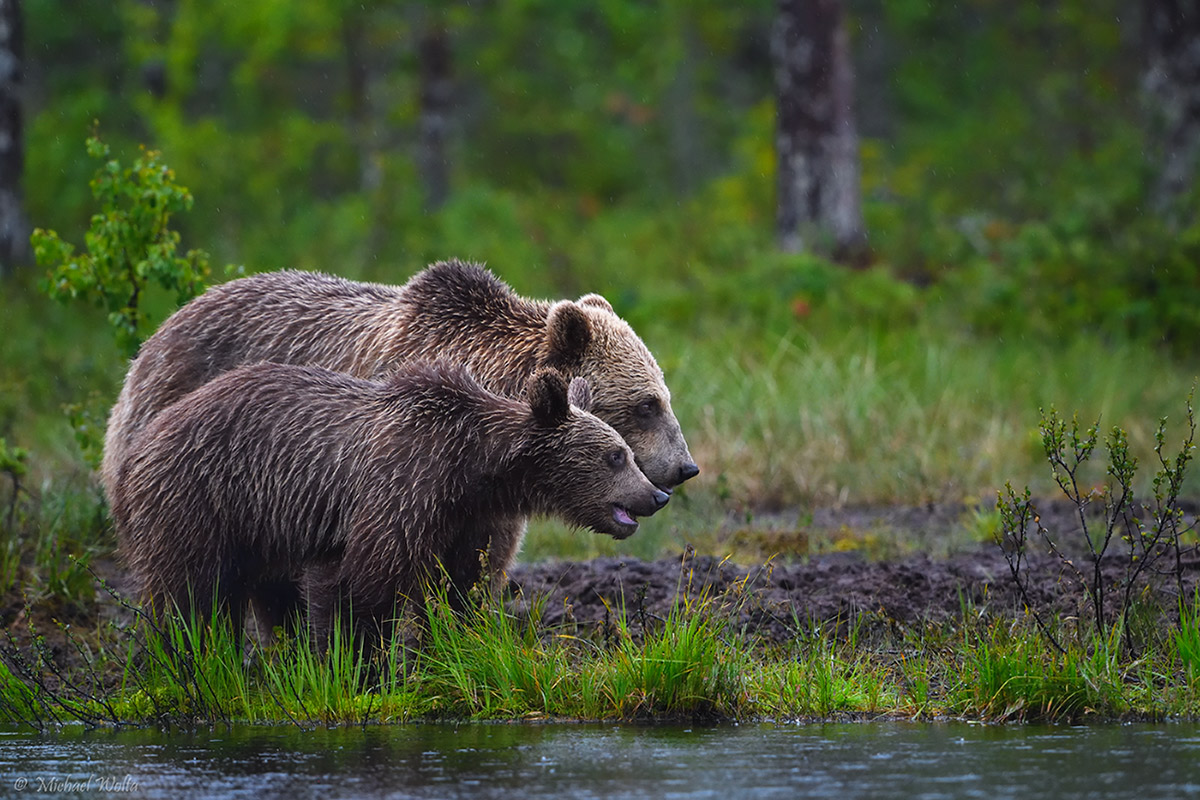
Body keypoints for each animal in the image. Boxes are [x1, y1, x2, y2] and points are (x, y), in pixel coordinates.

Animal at [111, 362, 667, 652]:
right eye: (617, 455)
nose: (656, 495)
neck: (472, 466)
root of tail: (141, 441)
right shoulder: (395, 488)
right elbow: (358, 586)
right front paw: (356, 664)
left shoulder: (458, 518)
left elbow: (457, 585)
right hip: (200, 498)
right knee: (188, 594)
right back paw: (190, 657)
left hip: (256, 528)